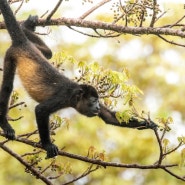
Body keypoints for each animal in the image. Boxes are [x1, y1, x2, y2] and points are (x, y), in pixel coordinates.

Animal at [0, 0, 157, 159]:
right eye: (93, 101)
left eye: (98, 101)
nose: (98, 107)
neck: (75, 95)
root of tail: (23, 44)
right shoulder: (63, 97)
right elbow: (40, 110)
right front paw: (48, 145)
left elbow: (109, 117)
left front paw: (148, 124)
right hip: (11, 54)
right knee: (7, 87)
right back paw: (5, 125)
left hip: (34, 49)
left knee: (48, 53)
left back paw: (26, 26)